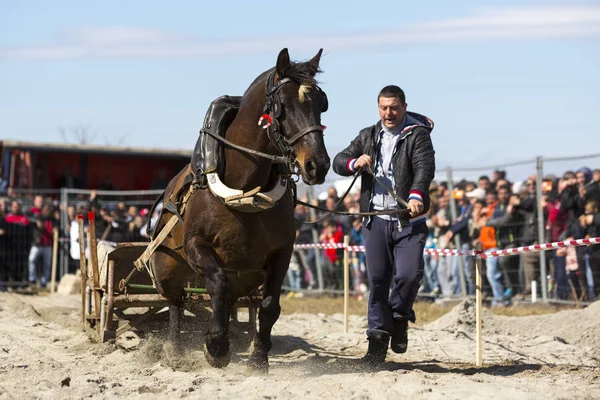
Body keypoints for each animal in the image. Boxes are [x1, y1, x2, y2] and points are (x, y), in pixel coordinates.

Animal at [149, 47, 328, 372]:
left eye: (322, 105)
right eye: (282, 106)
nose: (317, 165)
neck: (246, 190)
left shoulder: (282, 253)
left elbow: (269, 306)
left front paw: (258, 358)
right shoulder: (196, 246)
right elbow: (217, 285)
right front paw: (216, 347)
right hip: (167, 267)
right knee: (177, 301)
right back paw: (175, 350)